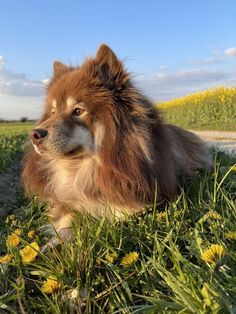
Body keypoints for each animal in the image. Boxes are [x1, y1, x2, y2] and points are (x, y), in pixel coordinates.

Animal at [21, 44, 211, 240]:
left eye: (78, 111)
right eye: (53, 112)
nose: (35, 134)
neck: (83, 168)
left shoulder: (141, 203)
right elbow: (67, 219)